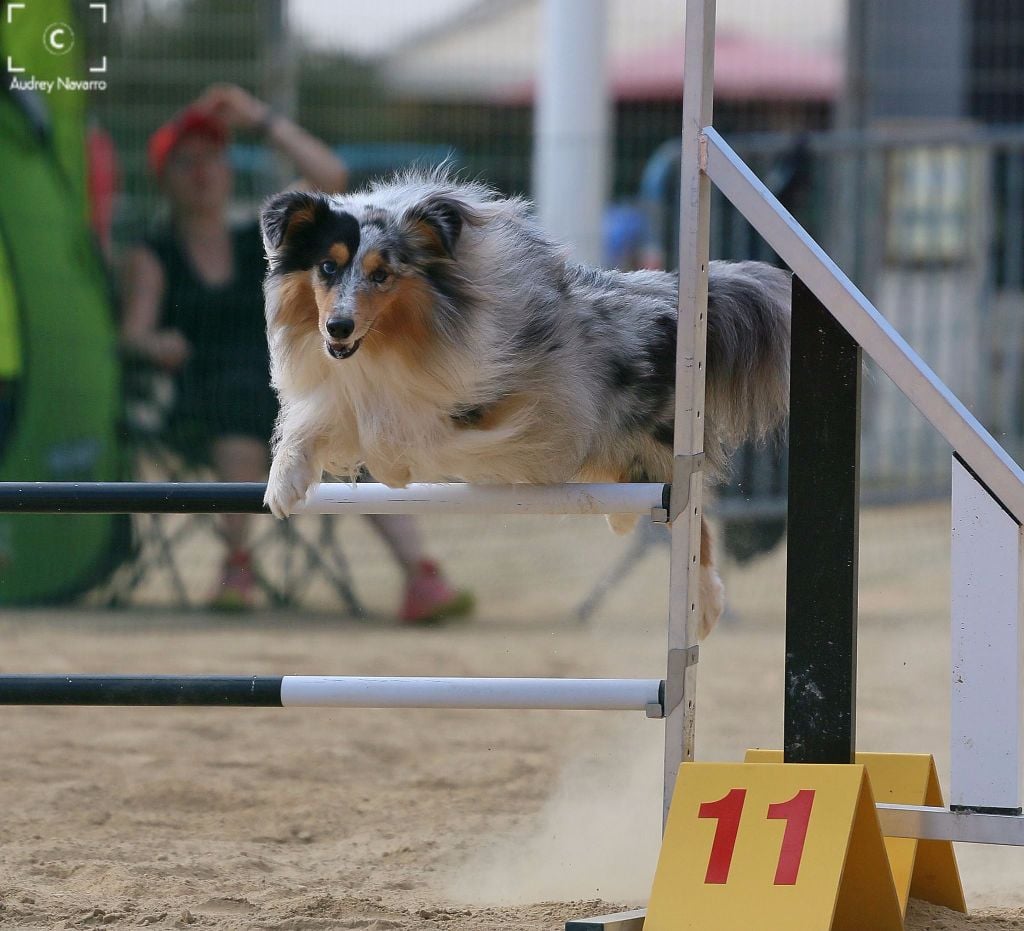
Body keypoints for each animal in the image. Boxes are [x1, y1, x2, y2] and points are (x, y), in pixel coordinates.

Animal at [260, 168, 786, 639]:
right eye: (327, 267)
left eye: (382, 274)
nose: (338, 327)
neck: (393, 342)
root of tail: (672, 303)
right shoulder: (344, 391)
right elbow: (316, 426)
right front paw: (284, 485)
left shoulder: (487, 403)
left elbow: (413, 435)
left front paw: (393, 464)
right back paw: (623, 517)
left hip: (660, 442)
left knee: (694, 518)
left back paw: (706, 606)